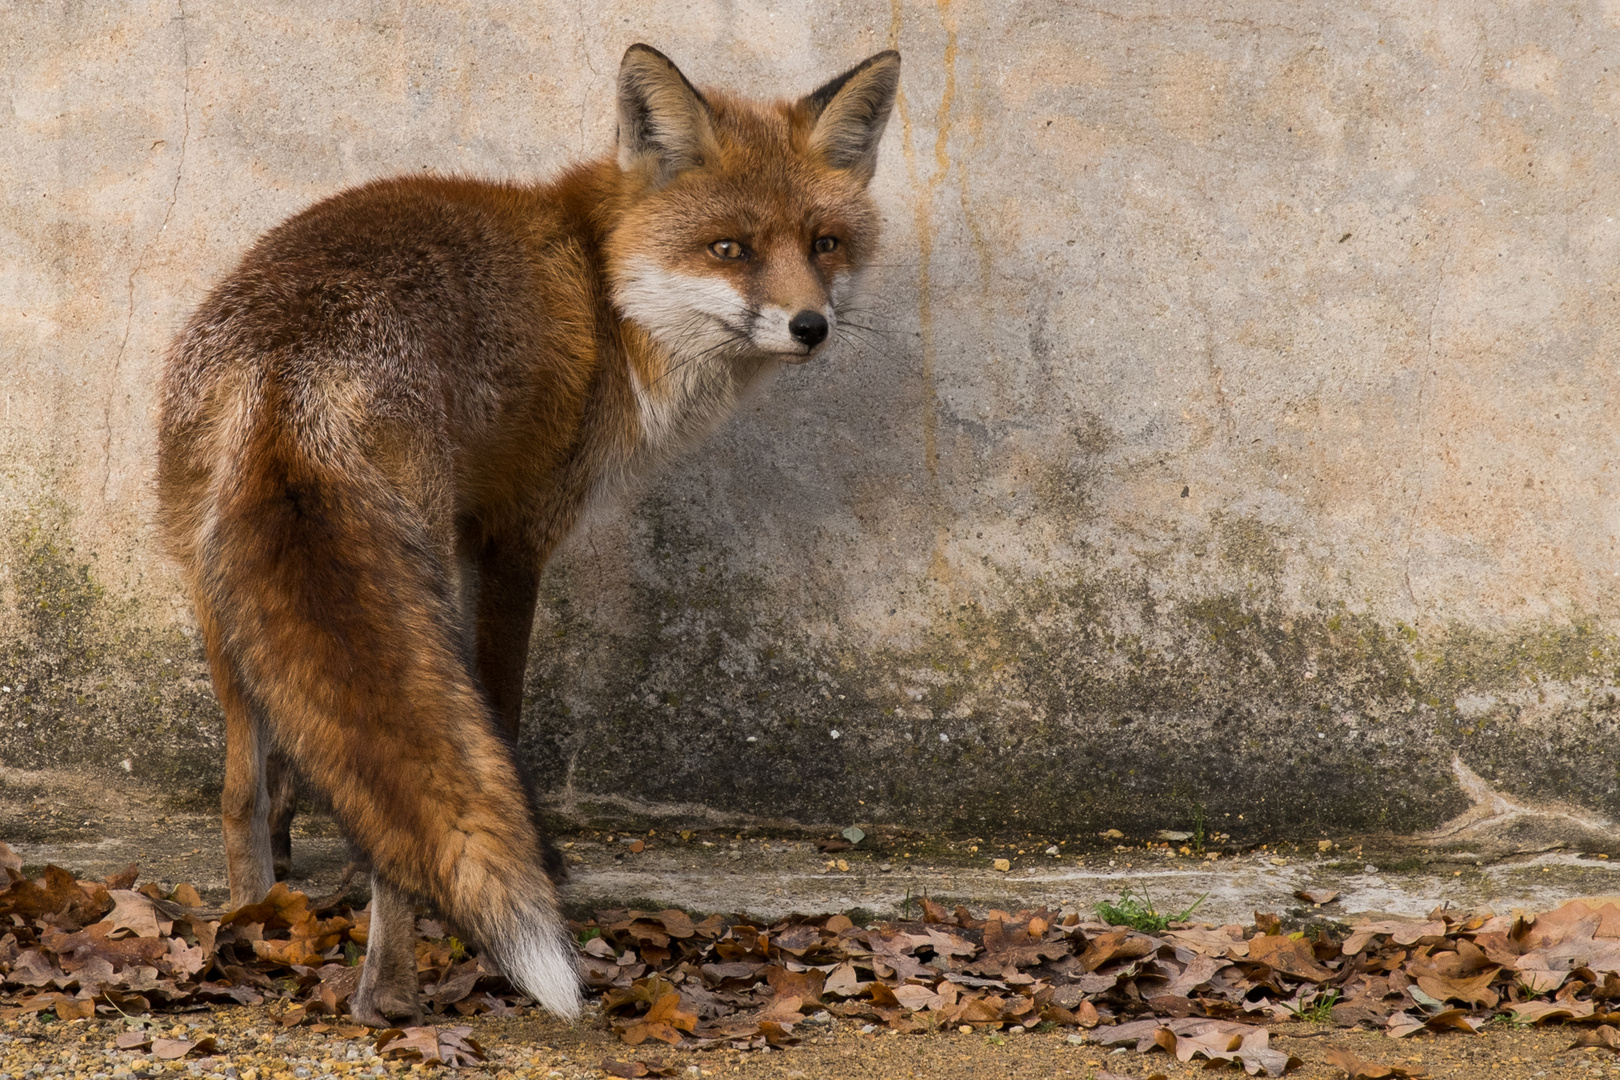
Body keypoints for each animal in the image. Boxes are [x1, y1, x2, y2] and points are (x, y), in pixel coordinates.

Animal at [154, 40, 900, 1023]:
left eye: (824, 244)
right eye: (729, 249)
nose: (810, 325)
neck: (603, 292)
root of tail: (290, 362)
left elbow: (293, 762)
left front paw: (292, 857)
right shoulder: (512, 532)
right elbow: (497, 720)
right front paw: (536, 862)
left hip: (221, 591)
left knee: (240, 787)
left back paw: (249, 925)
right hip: (410, 582)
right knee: (413, 804)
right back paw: (390, 992)